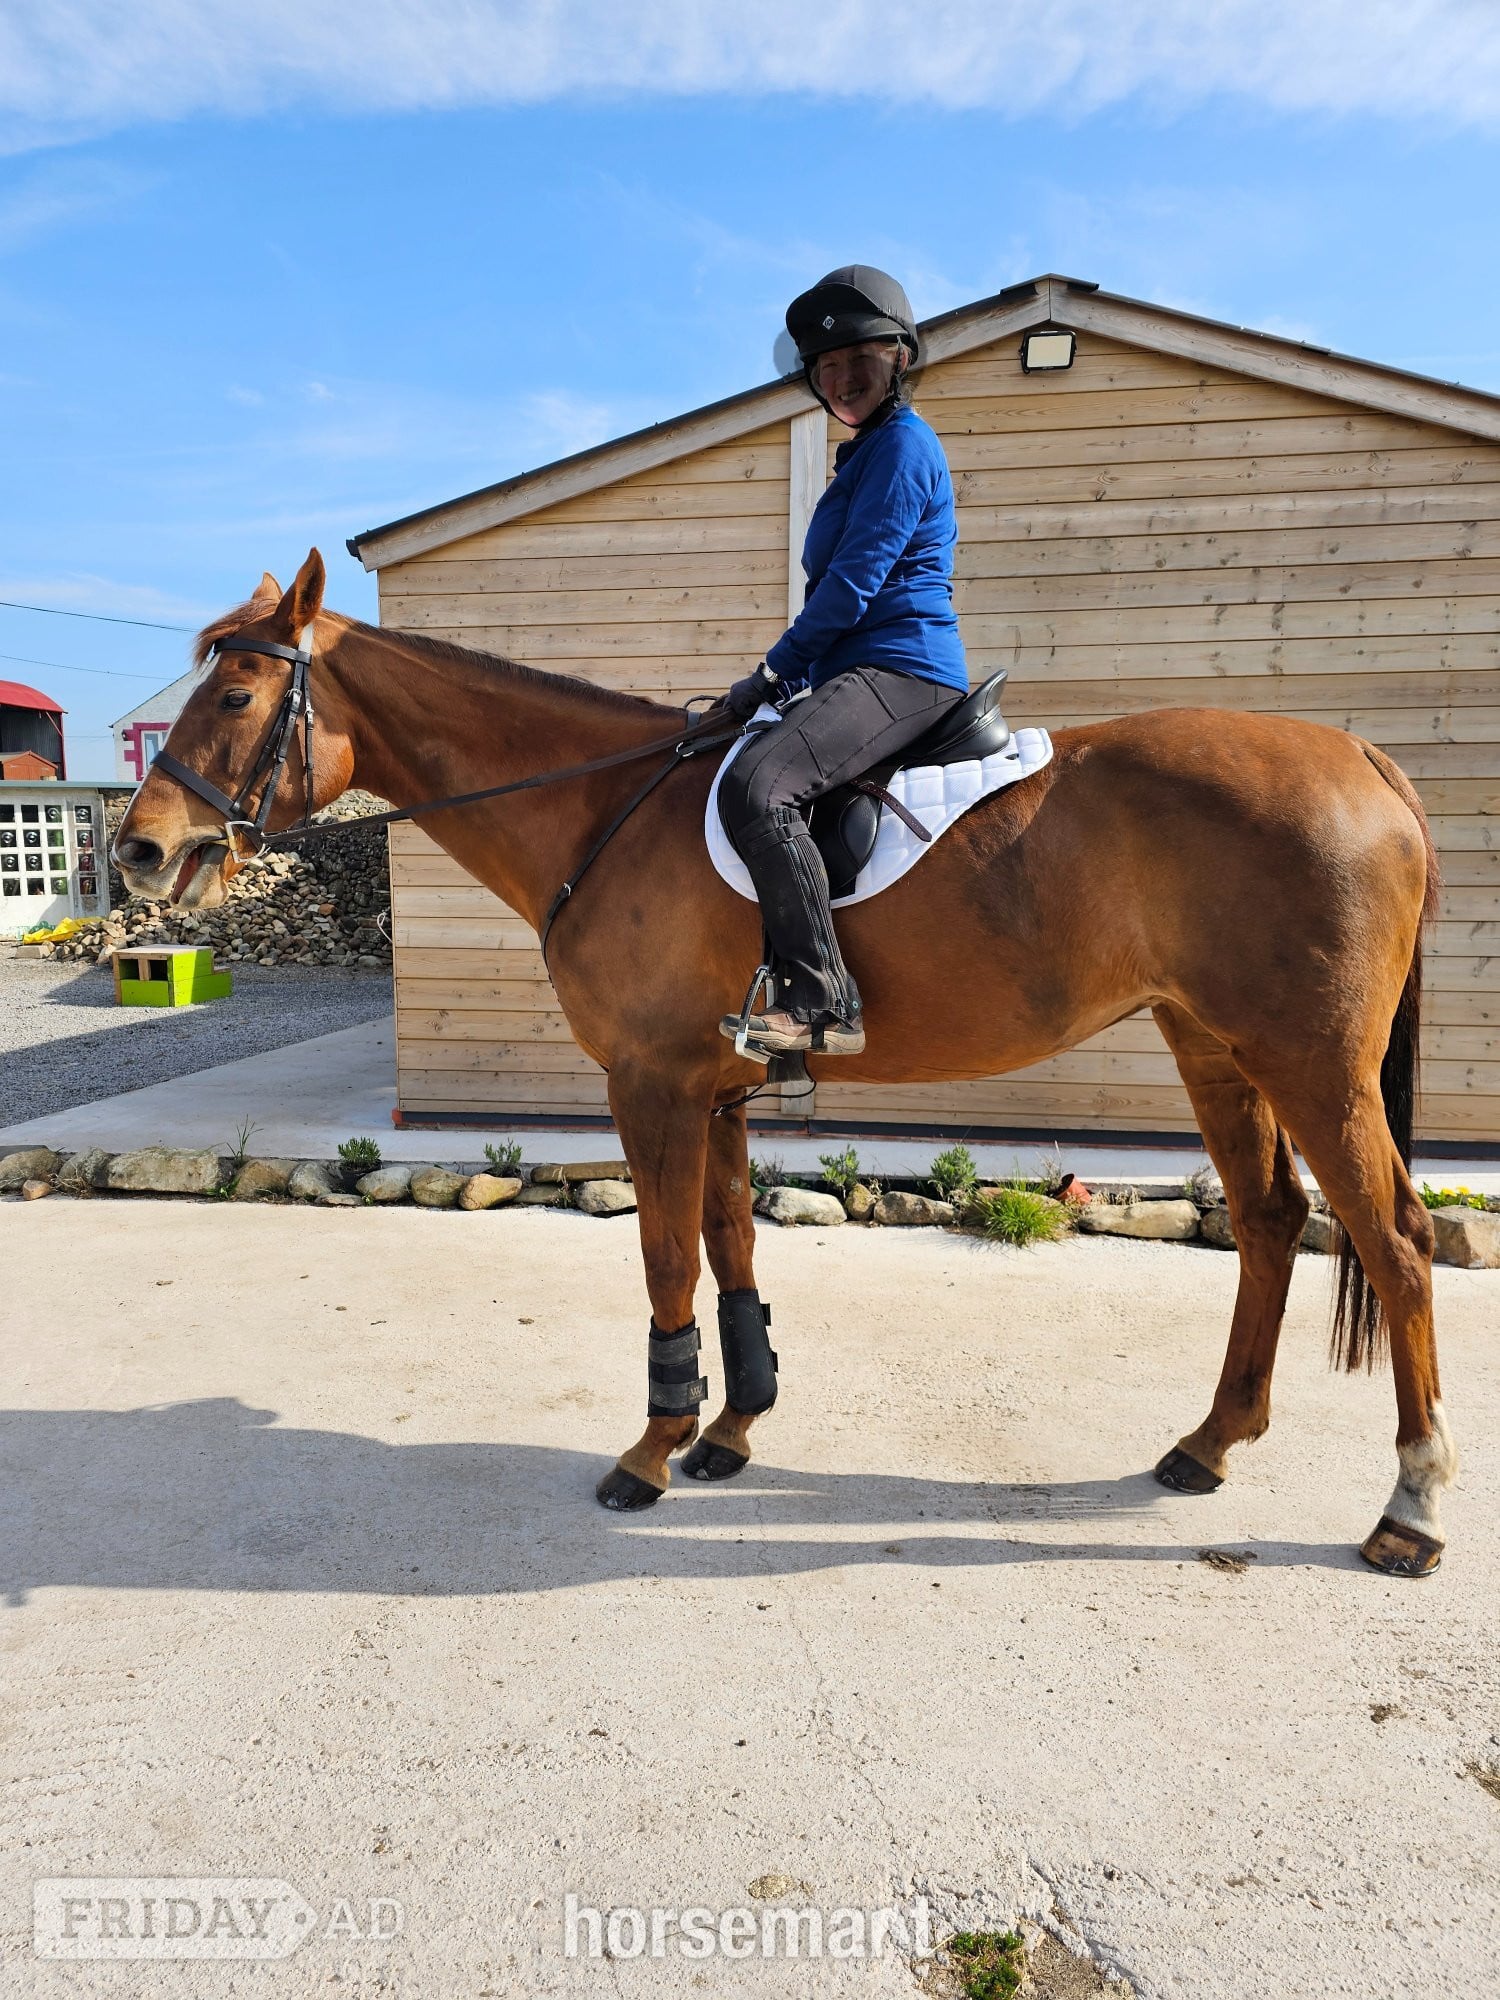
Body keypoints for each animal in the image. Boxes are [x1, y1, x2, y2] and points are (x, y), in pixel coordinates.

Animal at [112, 550, 1457, 1576]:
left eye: (235, 696)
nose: (137, 851)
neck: (606, 809)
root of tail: (1363, 759)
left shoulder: (651, 1086)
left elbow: (667, 1257)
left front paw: (652, 1450)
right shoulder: (716, 1091)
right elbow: (730, 1246)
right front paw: (730, 1430)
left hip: (1313, 1065)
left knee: (1394, 1241)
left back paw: (1411, 1506)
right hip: (1216, 1045)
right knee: (1272, 1219)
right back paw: (1212, 1442)